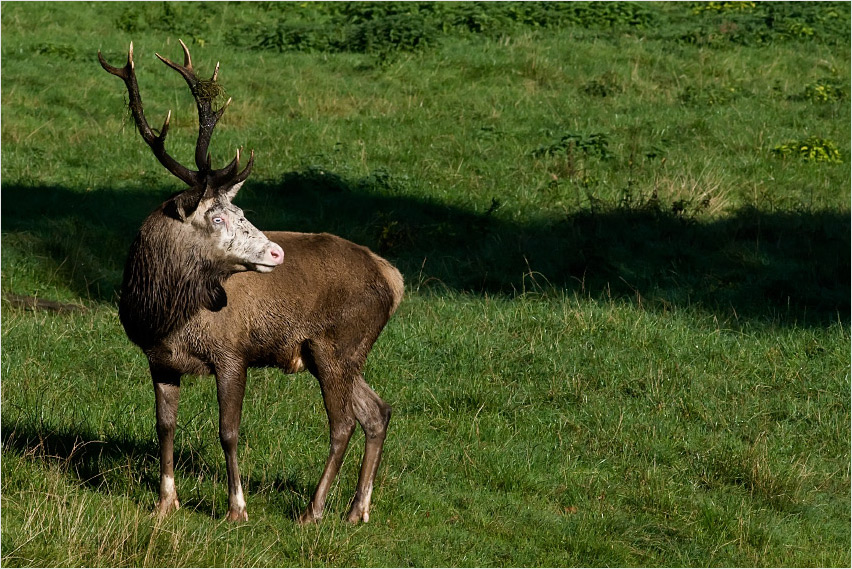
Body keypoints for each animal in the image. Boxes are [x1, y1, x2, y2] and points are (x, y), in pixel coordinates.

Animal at [98, 41, 404, 524]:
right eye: (217, 217)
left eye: (240, 211)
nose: (276, 252)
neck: (161, 316)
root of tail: (395, 279)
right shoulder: (158, 359)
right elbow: (164, 425)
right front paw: (165, 503)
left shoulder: (232, 352)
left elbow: (229, 431)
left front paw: (236, 508)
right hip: (339, 353)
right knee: (377, 411)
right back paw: (357, 511)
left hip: (336, 344)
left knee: (342, 423)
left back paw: (314, 510)